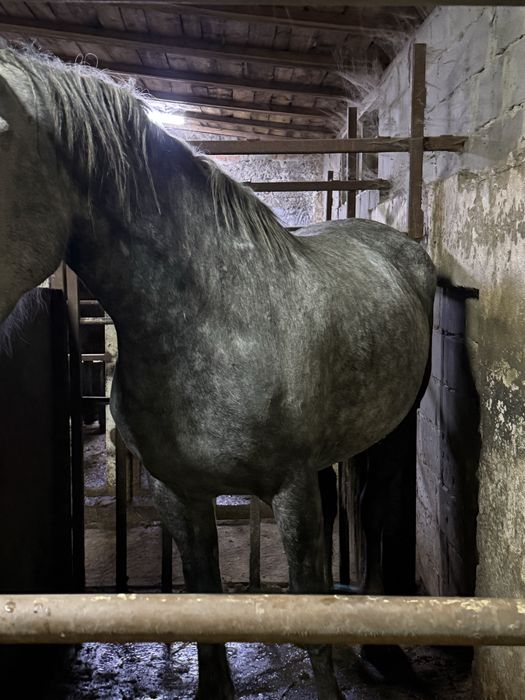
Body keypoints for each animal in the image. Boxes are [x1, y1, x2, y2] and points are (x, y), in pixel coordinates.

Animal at [0, 48, 436, 700]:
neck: (212, 320)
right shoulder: (177, 493)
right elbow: (204, 599)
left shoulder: (289, 490)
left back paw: (384, 652)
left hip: (391, 433)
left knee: (377, 514)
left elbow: (306, 603)